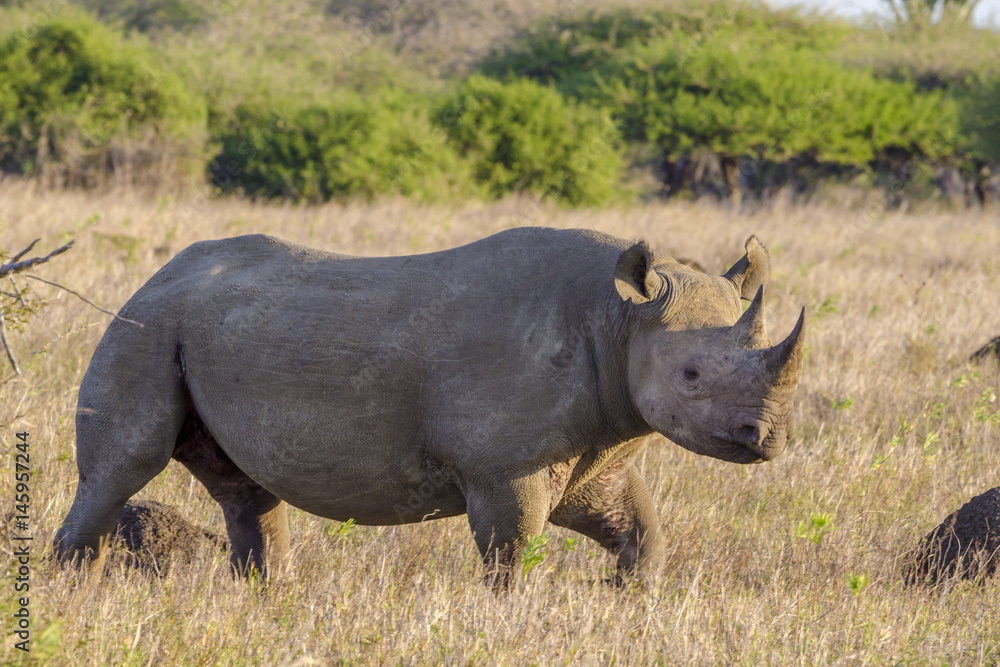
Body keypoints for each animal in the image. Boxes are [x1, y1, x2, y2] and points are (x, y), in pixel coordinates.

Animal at [54, 228, 804, 586]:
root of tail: (157, 276)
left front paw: (628, 599)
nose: (764, 437)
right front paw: (509, 617)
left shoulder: (596, 452)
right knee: (126, 466)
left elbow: (642, 532)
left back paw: (268, 595)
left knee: (246, 490)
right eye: (690, 374)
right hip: (147, 329)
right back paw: (77, 587)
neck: (621, 319)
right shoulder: (505, 466)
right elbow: (511, 551)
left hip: (195, 328)